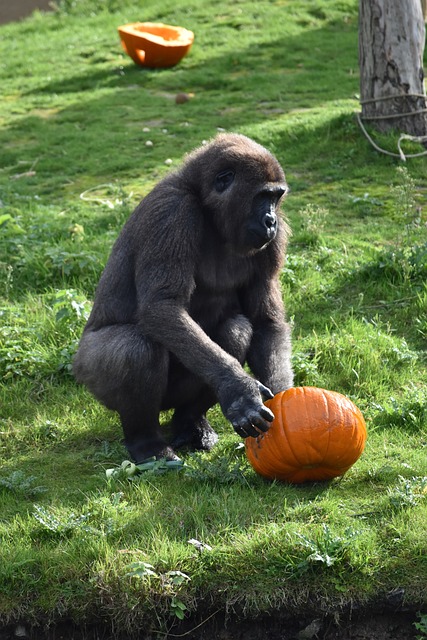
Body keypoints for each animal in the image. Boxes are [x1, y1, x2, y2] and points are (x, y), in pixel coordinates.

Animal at [73, 132, 294, 462]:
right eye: (261, 197)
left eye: (276, 198)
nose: (271, 221)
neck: (204, 202)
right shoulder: (173, 211)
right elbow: (163, 308)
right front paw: (239, 390)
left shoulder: (273, 242)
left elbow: (265, 322)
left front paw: (284, 396)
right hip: (91, 378)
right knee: (134, 347)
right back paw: (147, 442)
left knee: (236, 329)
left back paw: (190, 423)